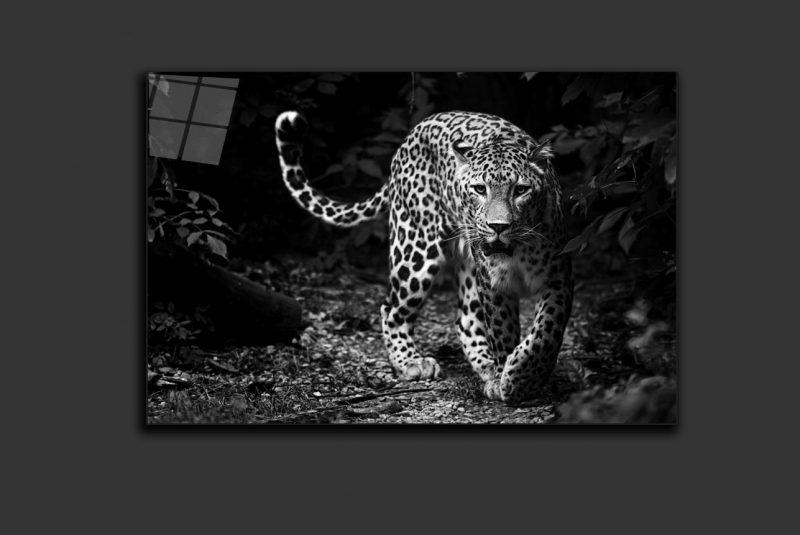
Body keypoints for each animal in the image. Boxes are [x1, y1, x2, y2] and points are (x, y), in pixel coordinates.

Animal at [274, 110, 573, 405]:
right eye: (479, 189)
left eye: (520, 190)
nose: (498, 226)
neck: (517, 249)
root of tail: (415, 131)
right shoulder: (493, 284)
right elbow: (503, 332)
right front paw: (510, 380)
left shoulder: (558, 278)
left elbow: (546, 331)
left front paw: (521, 377)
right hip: (415, 251)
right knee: (391, 309)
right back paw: (412, 363)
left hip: (465, 265)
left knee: (465, 319)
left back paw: (486, 367)